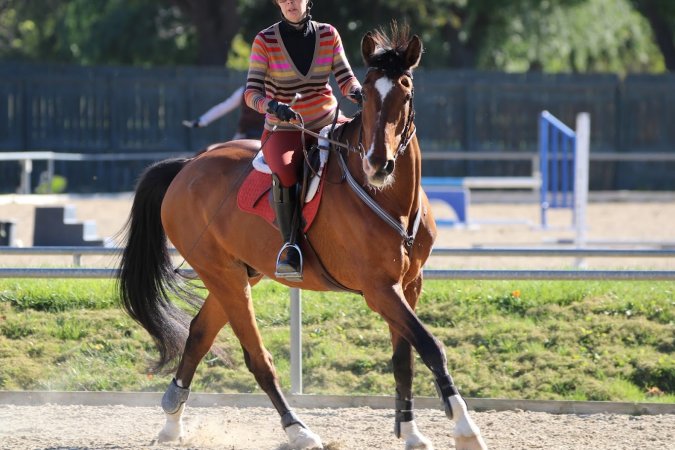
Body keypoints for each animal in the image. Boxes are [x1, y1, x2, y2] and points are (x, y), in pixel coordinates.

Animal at [118, 25, 487, 450]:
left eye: (405, 91)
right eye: (367, 92)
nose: (378, 164)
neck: (390, 198)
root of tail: (186, 166)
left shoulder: (409, 285)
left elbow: (404, 359)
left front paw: (410, 432)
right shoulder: (380, 290)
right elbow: (430, 346)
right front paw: (465, 428)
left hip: (239, 274)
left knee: (198, 335)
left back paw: (172, 422)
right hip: (224, 276)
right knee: (257, 358)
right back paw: (297, 429)